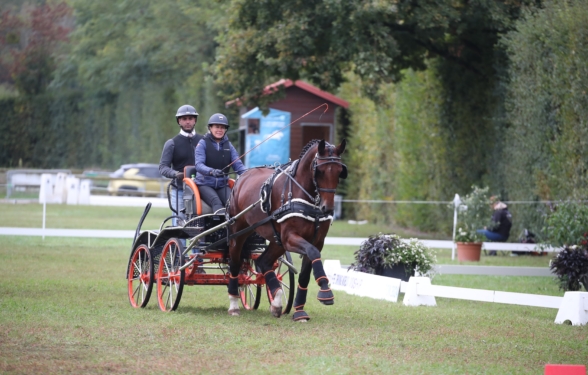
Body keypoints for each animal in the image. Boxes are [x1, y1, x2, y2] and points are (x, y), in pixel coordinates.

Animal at [224, 140, 344, 322]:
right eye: (320, 171)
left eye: (339, 171)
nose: (327, 208)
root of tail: (241, 178)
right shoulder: (290, 237)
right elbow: (313, 252)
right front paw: (325, 291)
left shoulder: (316, 240)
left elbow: (305, 274)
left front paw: (299, 311)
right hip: (239, 232)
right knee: (235, 263)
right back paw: (233, 304)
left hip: (276, 240)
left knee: (263, 262)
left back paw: (276, 301)